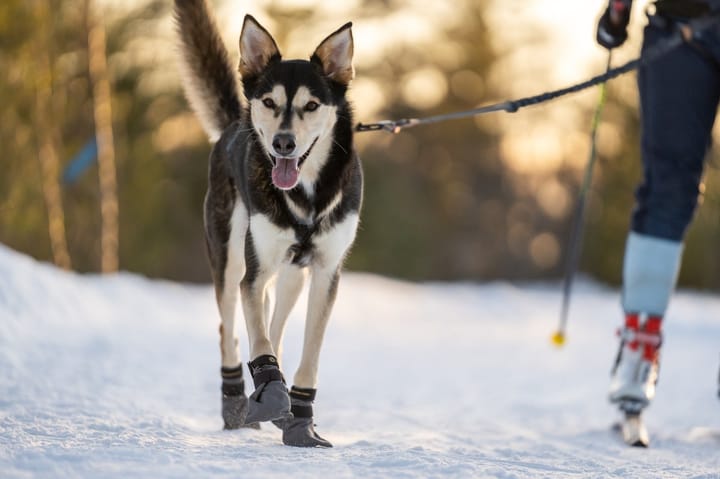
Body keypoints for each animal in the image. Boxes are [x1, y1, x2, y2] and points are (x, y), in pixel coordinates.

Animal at [174, 0, 362, 450]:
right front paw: (272, 392)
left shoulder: (326, 274)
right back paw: (236, 402)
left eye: (311, 105)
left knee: (274, 323)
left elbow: (307, 354)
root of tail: (232, 126)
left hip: (293, 276)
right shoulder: (253, 272)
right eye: (270, 102)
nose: (283, 143)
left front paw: (300, 419)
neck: (306, 196)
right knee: (231, 327)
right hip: (229, 260)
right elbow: (256, 336)